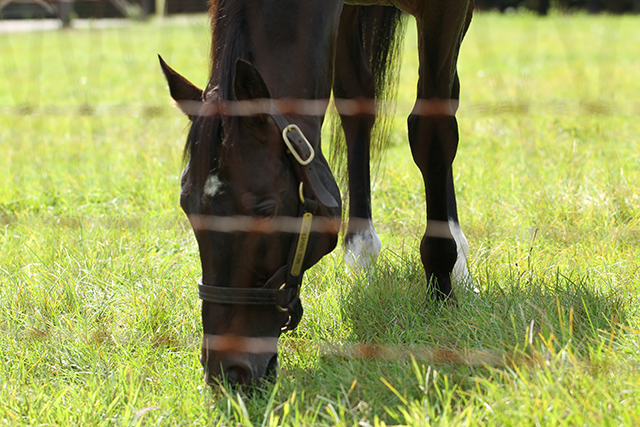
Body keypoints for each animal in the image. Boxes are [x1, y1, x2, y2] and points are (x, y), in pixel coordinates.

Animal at [159, 0, 470, 388]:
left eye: (264, 210)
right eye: (187, 206)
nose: (227, 372)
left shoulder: (446, 12)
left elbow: (433, 130)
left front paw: (441, 279)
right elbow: (356, 103)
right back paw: (362, 247)